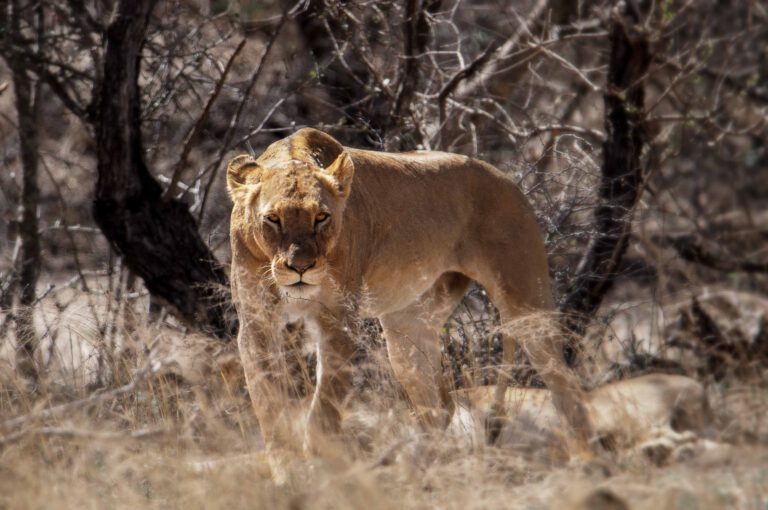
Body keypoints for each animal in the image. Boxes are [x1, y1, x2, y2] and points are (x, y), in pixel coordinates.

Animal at [225, 127, 592, 454]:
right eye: (273, 219)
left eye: (321, 217)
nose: (300, 267)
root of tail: (507, 178)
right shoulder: (257, 320)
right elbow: (268, 402)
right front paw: (286, 468)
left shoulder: (337, 321)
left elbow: (324, 410)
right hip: (408, 326)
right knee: (440, 404)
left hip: (524, 302)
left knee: (565, 386)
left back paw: (584, 461)